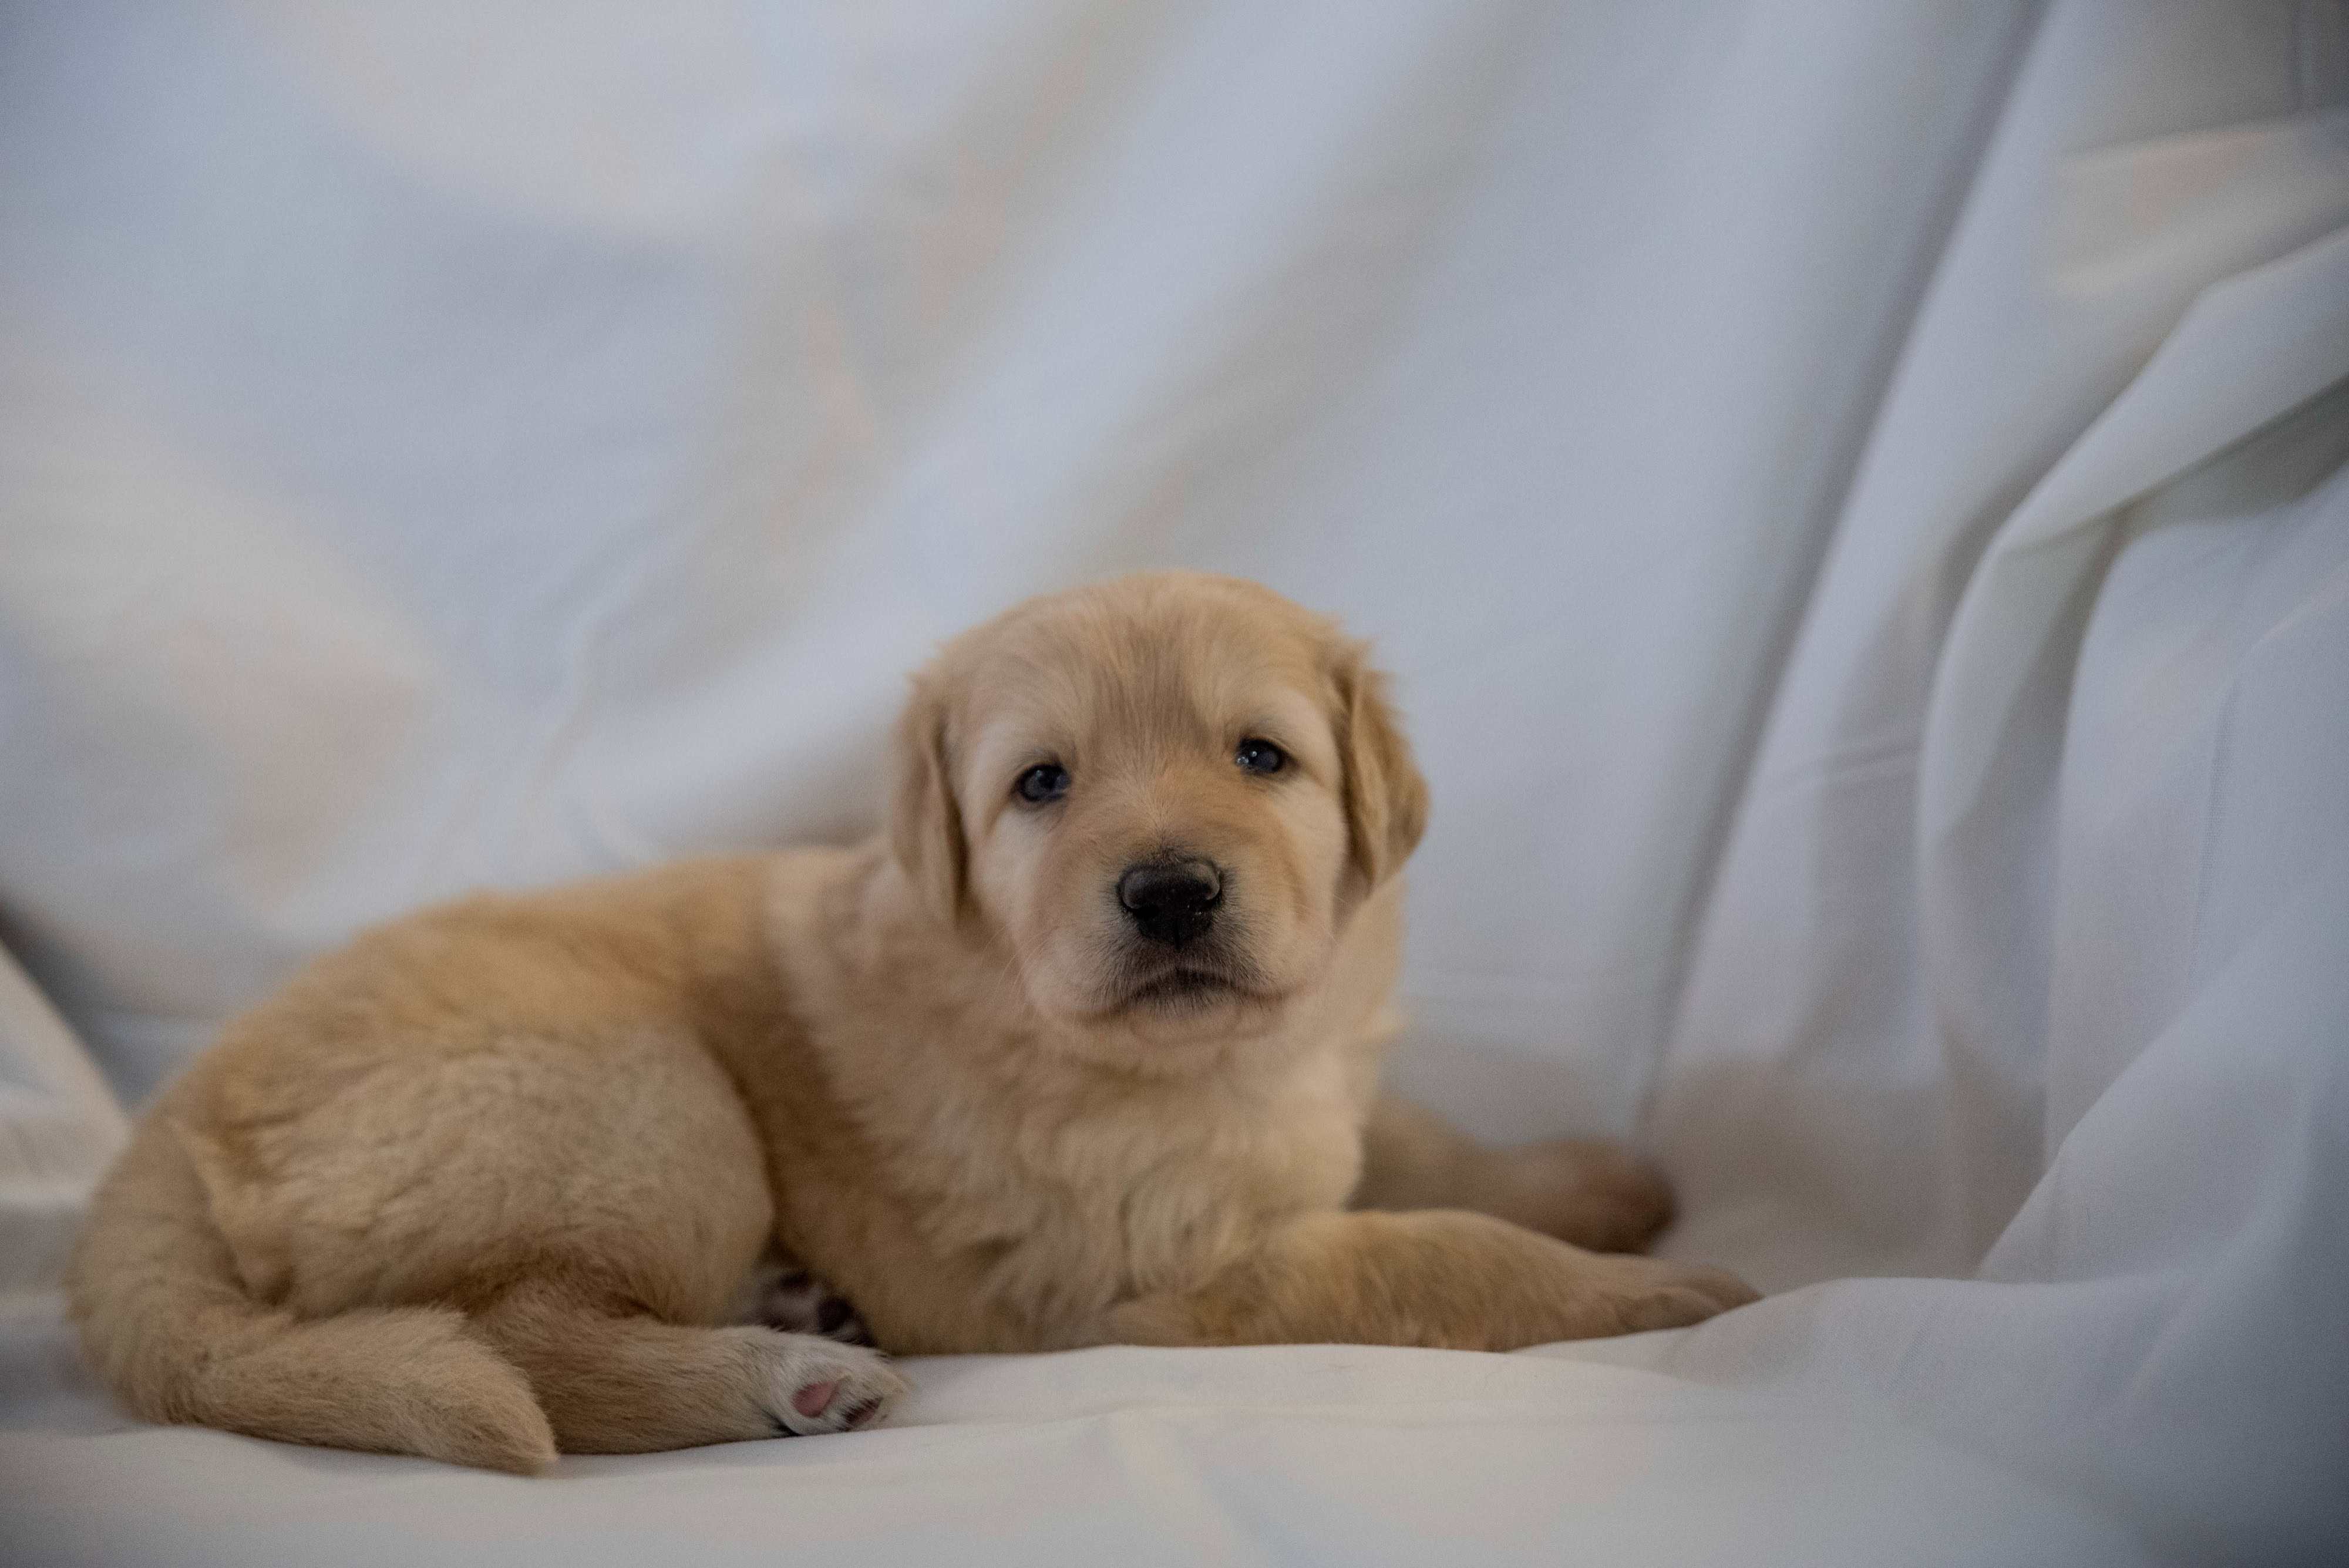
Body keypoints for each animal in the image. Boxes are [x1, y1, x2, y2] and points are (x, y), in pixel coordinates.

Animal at [66, 571, 1756, 1473]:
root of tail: (166, 1124)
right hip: (634, 1098)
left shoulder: (1322, 1075)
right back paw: (782, 1374)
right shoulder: (1156, 1275)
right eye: (1041, 785)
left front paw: (1595, 1180)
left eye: (1261, 756)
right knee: (522, 1329)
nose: (1171, 890)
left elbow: (1421, 1142)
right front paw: (1655, 1287)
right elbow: (1429, 1250)